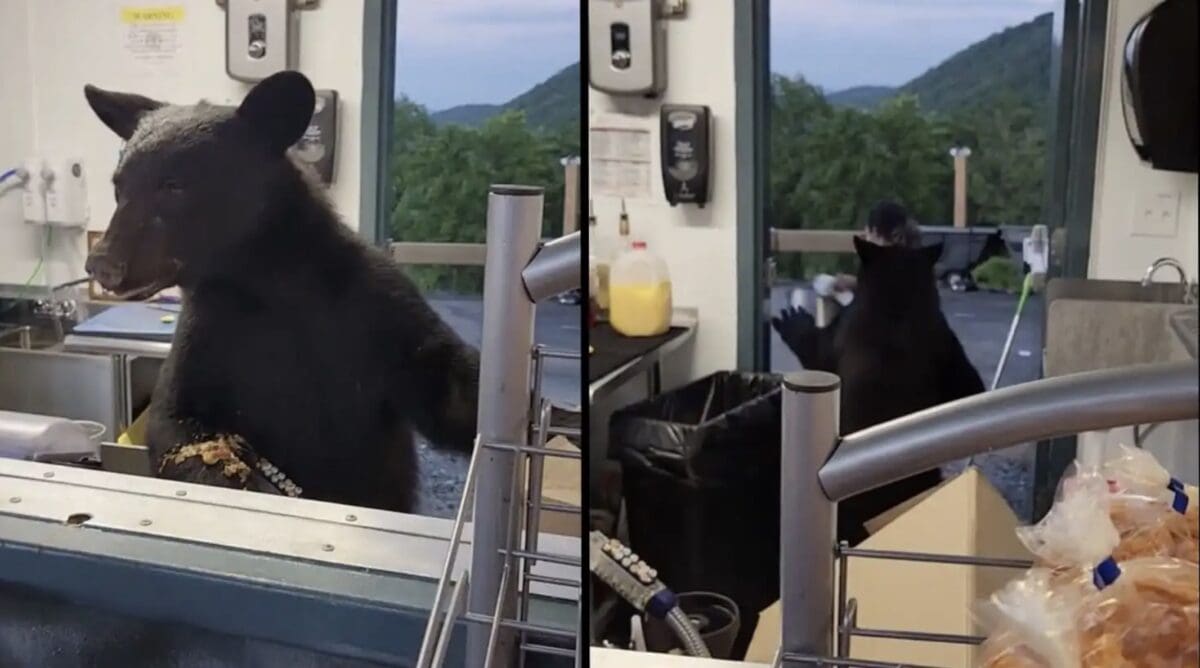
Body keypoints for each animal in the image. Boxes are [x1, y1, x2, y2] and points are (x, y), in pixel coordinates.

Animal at [82, 71, 480, 513]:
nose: (101, 263)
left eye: (173, 186)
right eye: (119, 188)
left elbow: (448, 389)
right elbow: (177, 422)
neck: (267, 282)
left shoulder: (375, 309)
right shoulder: (208, 329)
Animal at [775, 237, 985, 544]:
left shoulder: (836, 337)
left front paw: (793, 318)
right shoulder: (949, 348)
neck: (896, 308)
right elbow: (970, 388)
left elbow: (813, 348)